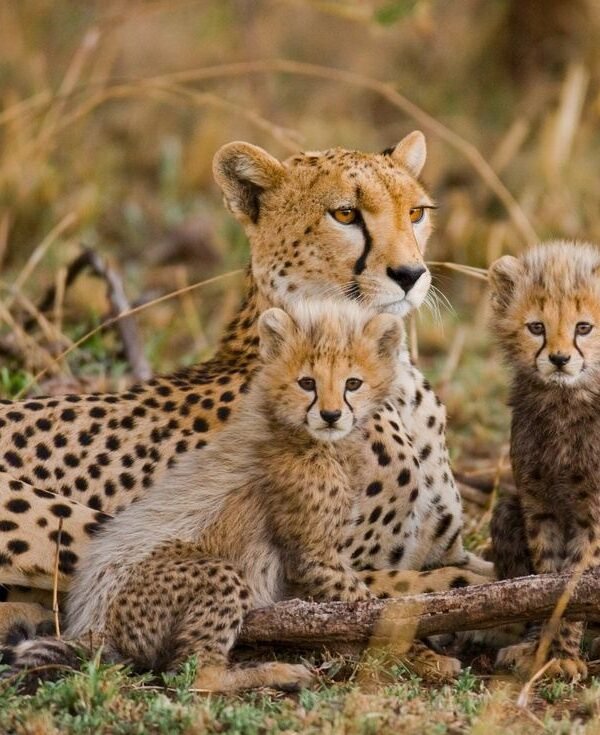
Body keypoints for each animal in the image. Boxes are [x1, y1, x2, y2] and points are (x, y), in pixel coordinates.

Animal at [0, 131, 492, 642]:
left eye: (415, 213)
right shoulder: (321, 570)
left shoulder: (443, 546)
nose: (411, 275)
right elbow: (447, 584)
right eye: (345, 214)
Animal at [489, 240, 600, 681]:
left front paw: (564, 655)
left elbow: (574, 583)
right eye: (536, 327)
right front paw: (543, 650)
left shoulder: (594, 515)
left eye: (583, 328)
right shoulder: (539, 505)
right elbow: (545, 581)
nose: (558, 359)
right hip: (506, 510)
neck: (565, 402)